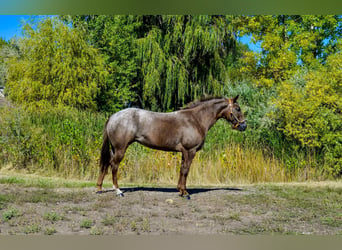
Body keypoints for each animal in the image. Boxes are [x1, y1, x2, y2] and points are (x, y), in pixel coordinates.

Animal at [96, 95, 246, 199]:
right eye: (238, 108)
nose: (244, 125)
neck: (195, 119)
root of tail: (113, 117)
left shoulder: (184, 152)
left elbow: (182, 169)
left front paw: (180, 190)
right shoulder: (190, 151)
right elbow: (185, 170)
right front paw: (185, 193)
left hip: (114, 149)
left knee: (106, 164)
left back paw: (99, 188)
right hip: (120, 149)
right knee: (114, 166)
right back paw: (118, 191)